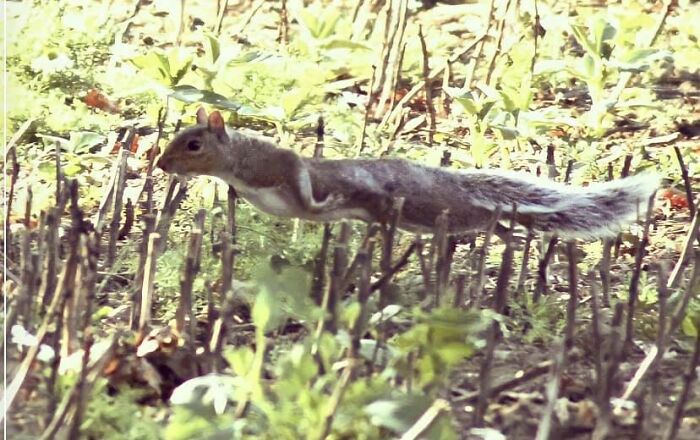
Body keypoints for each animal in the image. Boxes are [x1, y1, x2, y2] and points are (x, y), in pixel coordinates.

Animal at [156, 108, 660, 239]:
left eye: (194, 145)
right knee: (486, 220)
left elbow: (304, 186)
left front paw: (324, 203)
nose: (161, 165)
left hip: (441, 210)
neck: (236, 166)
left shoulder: (282, 163)